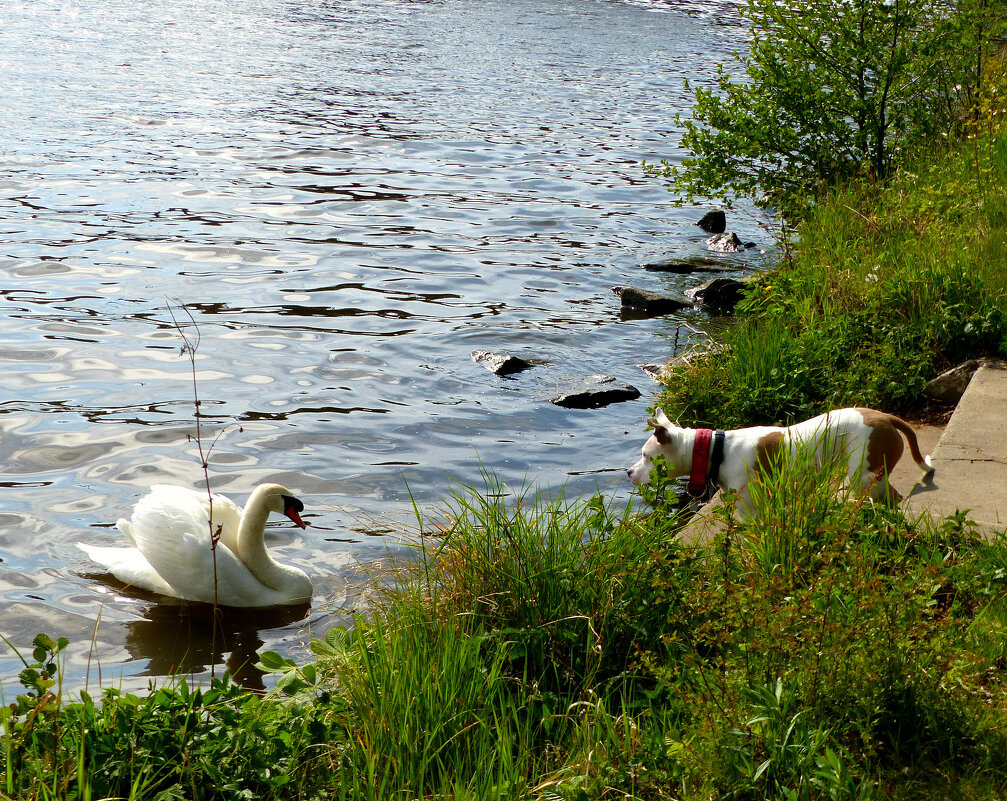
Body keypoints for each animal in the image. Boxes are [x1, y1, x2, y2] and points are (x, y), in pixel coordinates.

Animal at [628, 411, 934, 515]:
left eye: (645, 456)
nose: (629, 472)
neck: (716, 449)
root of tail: (884, 417)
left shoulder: (748, 508)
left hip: (865, 475)